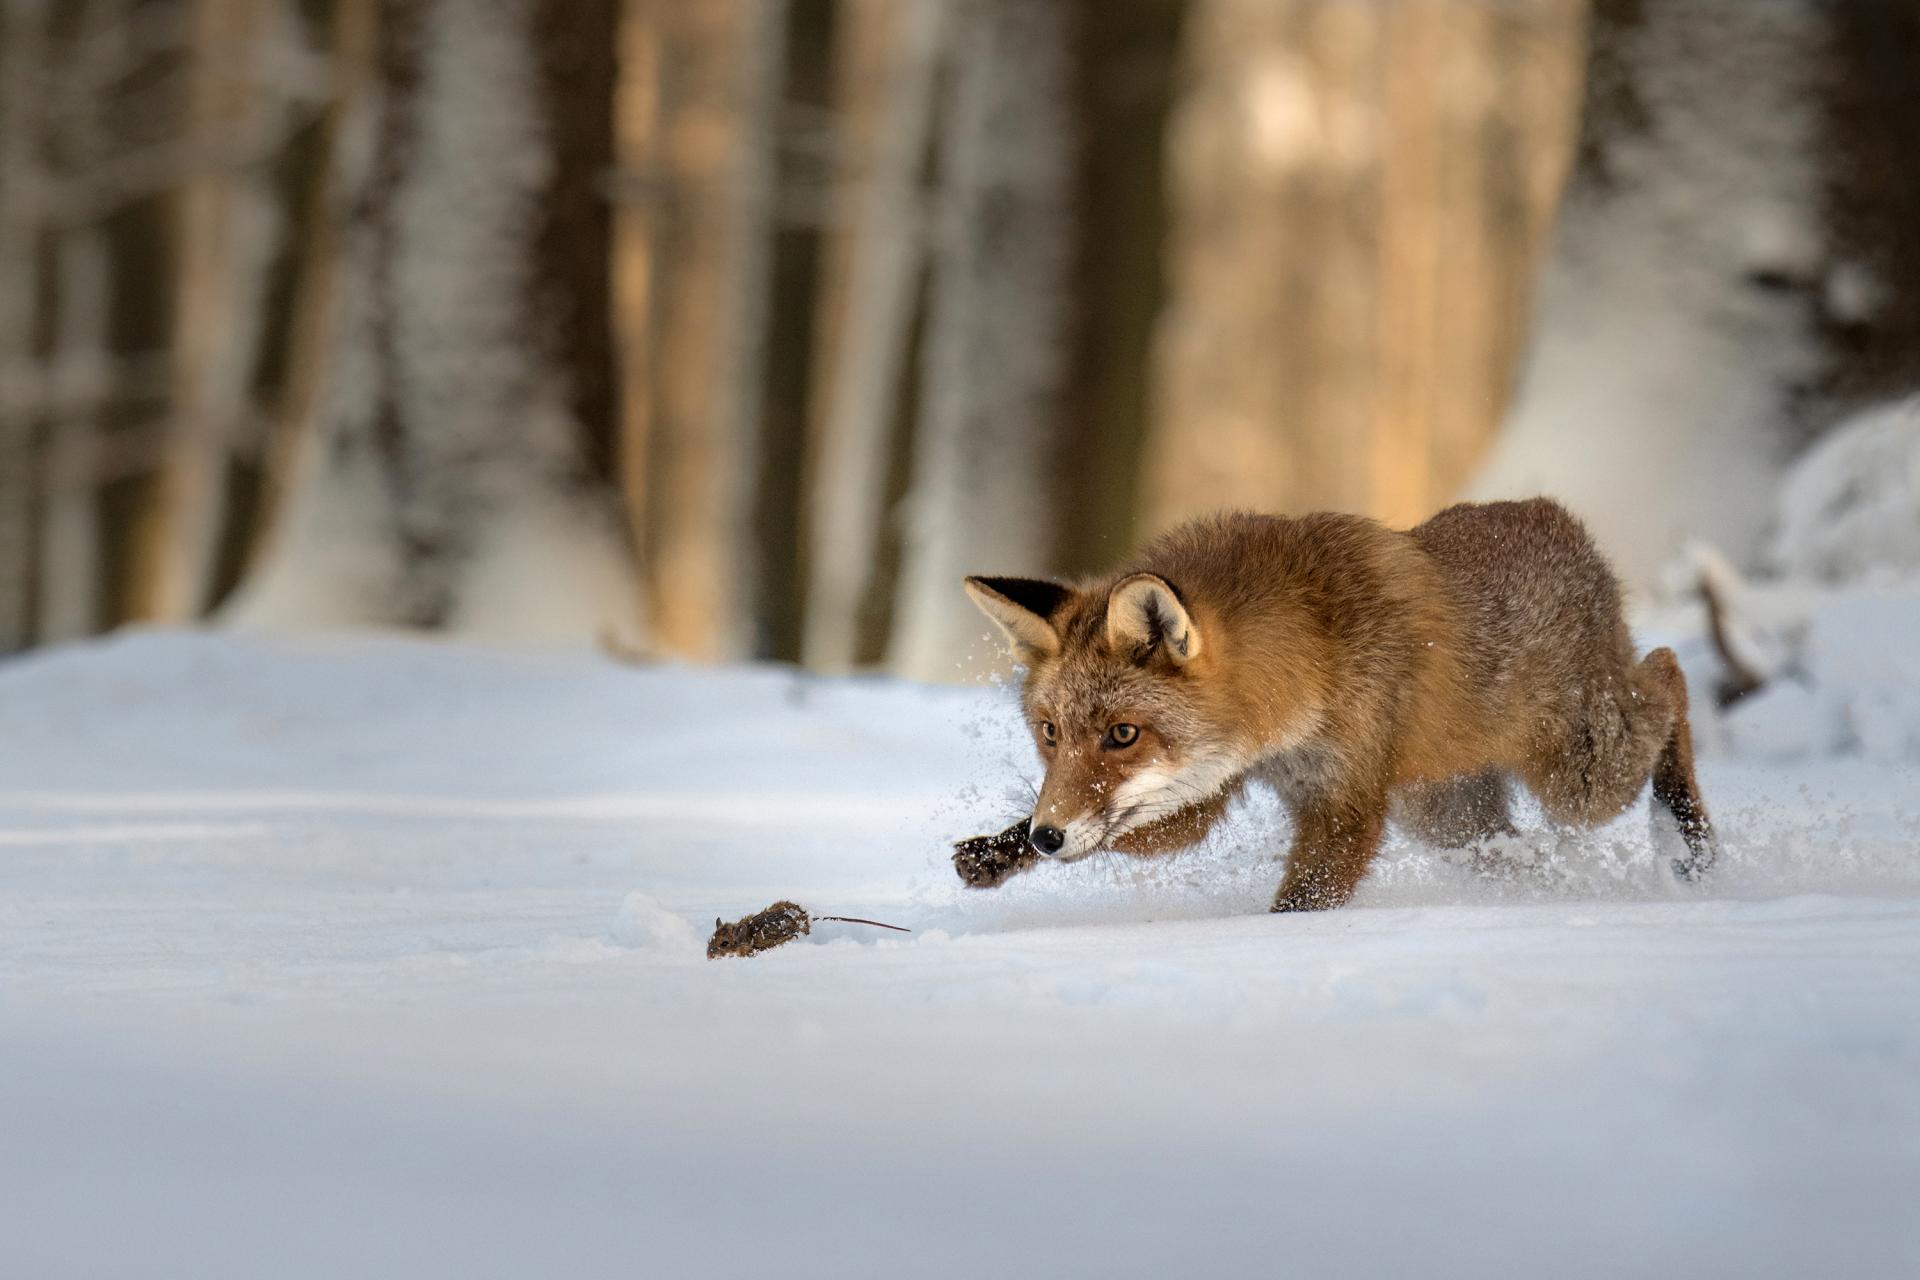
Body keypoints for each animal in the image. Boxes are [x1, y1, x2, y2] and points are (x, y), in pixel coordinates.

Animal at [952, 498, 1720, 909]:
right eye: (1051, 733)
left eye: (1121, 734)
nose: (1048, 837)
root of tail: (1555, 516)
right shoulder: (1213, 785)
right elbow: (1145, 827)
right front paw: (996, 849)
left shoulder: (1345, 805)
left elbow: (1300, 901)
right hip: (1449, 820)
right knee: (1518, 858)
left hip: (1579, 778)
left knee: (1670, 675)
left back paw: (1690, 839)